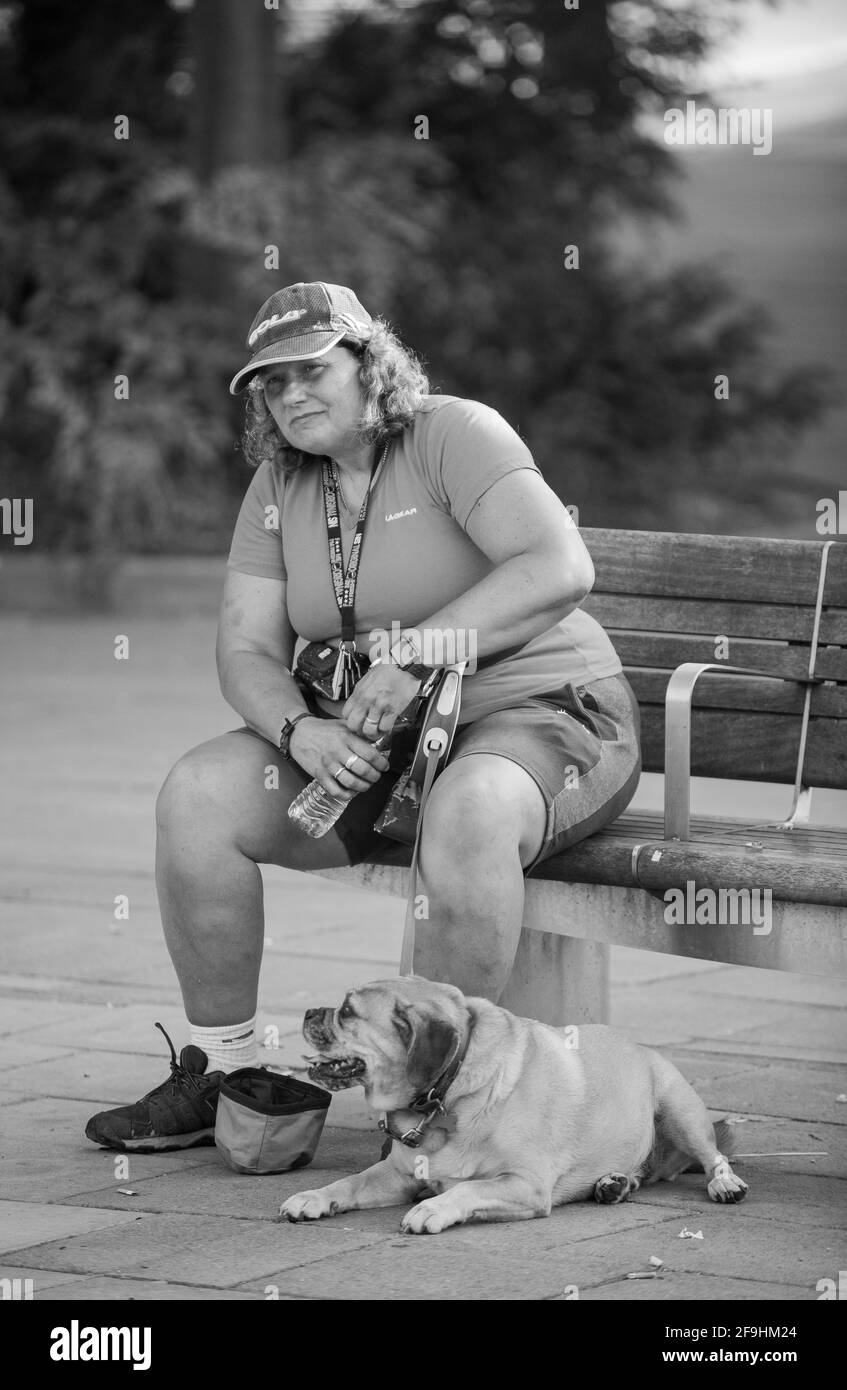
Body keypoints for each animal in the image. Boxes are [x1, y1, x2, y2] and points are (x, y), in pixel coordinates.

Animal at [279, 973, 745, 1234]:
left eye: (347, 1011)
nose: (308, 1011)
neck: (450, 1098)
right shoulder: (397, 1174)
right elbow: (349, 1183)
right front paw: (314, 1197)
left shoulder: (524, 1183)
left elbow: (469, 1187)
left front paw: (434, 1207)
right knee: (641, 1174)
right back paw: (614, 1183)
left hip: (678, 1109)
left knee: (714, 1156)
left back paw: (723, 1183)